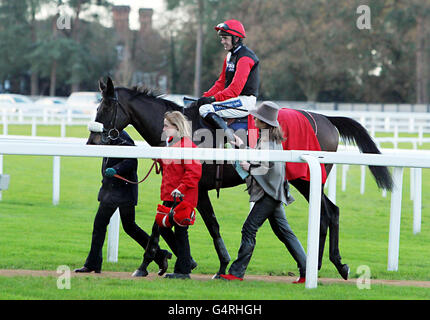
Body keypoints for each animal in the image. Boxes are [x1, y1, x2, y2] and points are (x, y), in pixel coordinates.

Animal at [87, 78, 394, 280]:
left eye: (105, 109)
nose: (91, 141)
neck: (186, 130)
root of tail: (327, 120)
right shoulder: (192, 187)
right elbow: (192, 222)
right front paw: (205, 264)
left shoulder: (196, 185)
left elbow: (182, 222)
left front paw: (149, 264)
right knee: (326, 213)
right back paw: (317, 266)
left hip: (307, 179)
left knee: (330, 212)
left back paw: (331, 265)